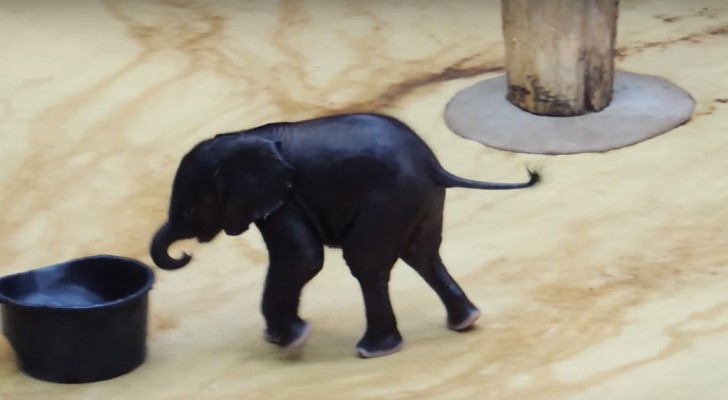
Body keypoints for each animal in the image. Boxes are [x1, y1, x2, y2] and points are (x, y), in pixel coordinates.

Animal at [149, 112, 540, 360]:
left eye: (188, 210)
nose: (185, 255)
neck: (240, 137)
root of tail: (434, 166)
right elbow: (299, 260)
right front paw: (282, 337)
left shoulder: (285, 200)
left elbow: (302, 259)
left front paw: (289, 341)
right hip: (421, 199)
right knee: (423, 255)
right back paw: (466, 321)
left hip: (388, 198)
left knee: (366, 263)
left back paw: (374, 350)